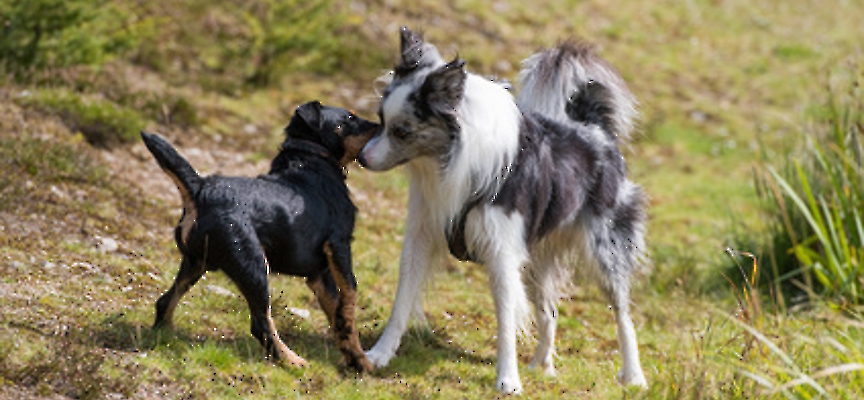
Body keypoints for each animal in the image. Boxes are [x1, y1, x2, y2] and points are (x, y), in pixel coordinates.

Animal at [142, 100, 378, 372]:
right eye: (350, 118)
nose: (379, 124)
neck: (310, 157)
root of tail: (200, 188)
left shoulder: (319, 273)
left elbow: (336, 311)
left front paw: (357, 359)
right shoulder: (339, 245)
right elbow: (349, 297)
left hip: (195, 263)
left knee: (165, 301)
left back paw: (165, 334)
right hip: (252, 265)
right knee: (261, 323)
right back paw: (291, 360)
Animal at [358, 28, 648, 394]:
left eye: (402, 131)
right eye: (381, 120)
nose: (361, 158)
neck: (454, 158)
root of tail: (595, 129)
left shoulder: (501, 253)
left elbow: (506, 319)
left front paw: (508, 379)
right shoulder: (422, 235)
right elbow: (401, 302)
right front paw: (379, 354)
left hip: (605, 250)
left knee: (623, 313)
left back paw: (633, 376)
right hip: (537, 259)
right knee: (550, 312)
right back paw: (542, 366)